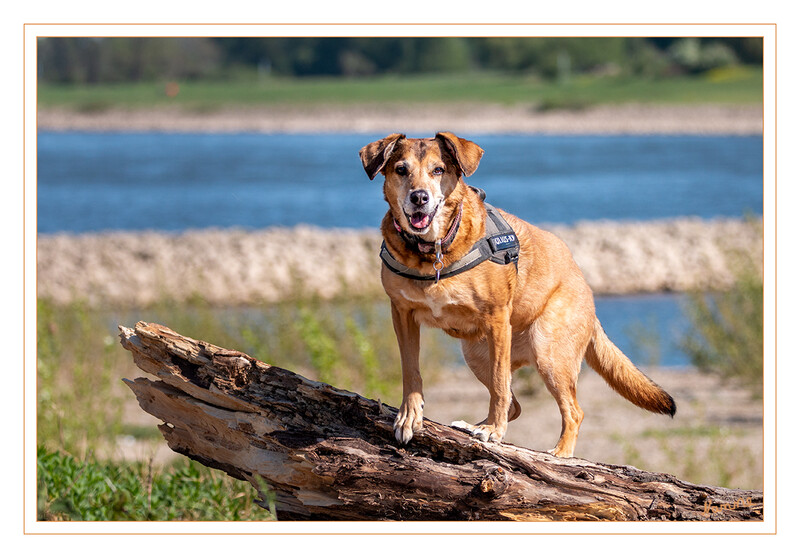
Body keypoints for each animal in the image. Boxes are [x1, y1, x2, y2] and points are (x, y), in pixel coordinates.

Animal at [360, 133, 680, 458]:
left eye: (438, 170)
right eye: (401, 170)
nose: (419, 197)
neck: (432, 252)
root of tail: (586, 289)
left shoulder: (497, 319)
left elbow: (500, 382)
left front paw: (494, 431)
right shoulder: (402, 315)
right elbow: (411, 371)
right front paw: (409, 417)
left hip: (548, 350)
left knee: (572, 410)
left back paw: (559, 452)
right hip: (476, 354)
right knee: (515, 403)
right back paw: (474, 425)